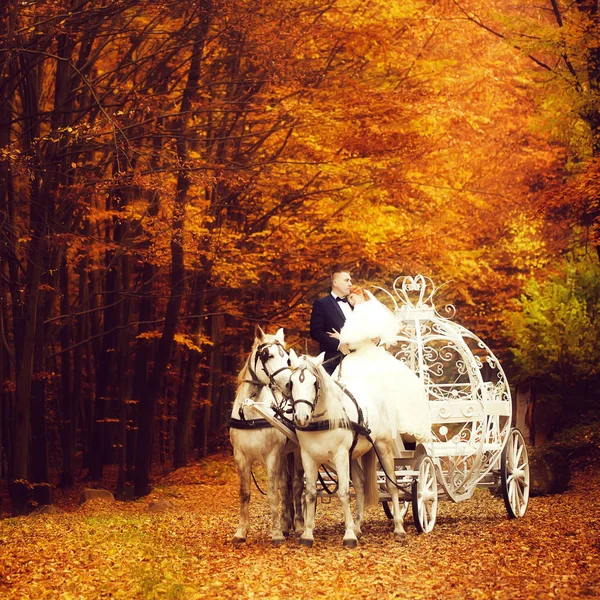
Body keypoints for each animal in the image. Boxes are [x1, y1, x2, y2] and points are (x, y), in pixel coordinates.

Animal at [230, 326, 304, 548]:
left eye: (287, 358)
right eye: (267, 355)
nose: (290, 385)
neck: (252, 411)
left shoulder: (272, 456)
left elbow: (272, 492)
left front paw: (276, 534)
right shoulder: (241, 457)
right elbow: (244, 494)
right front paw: (241, 532)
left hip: (297, 452)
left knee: (297, 485)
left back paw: (299, 526)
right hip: (285, 454)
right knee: (286, 486)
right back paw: (287, 524)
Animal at [288, 350, 406, 548]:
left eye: (314, 383)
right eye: (291, 382)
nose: (302, 417)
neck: (324, 420)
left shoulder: (340, 456)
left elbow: (343, 492)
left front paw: (349, 535)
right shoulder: (308, 457)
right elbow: (310, 493)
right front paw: (307, 534)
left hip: (382, 447)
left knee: (392, 485)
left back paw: (398, 527)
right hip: (353, 457)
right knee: (360, 485)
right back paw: (358, 526)